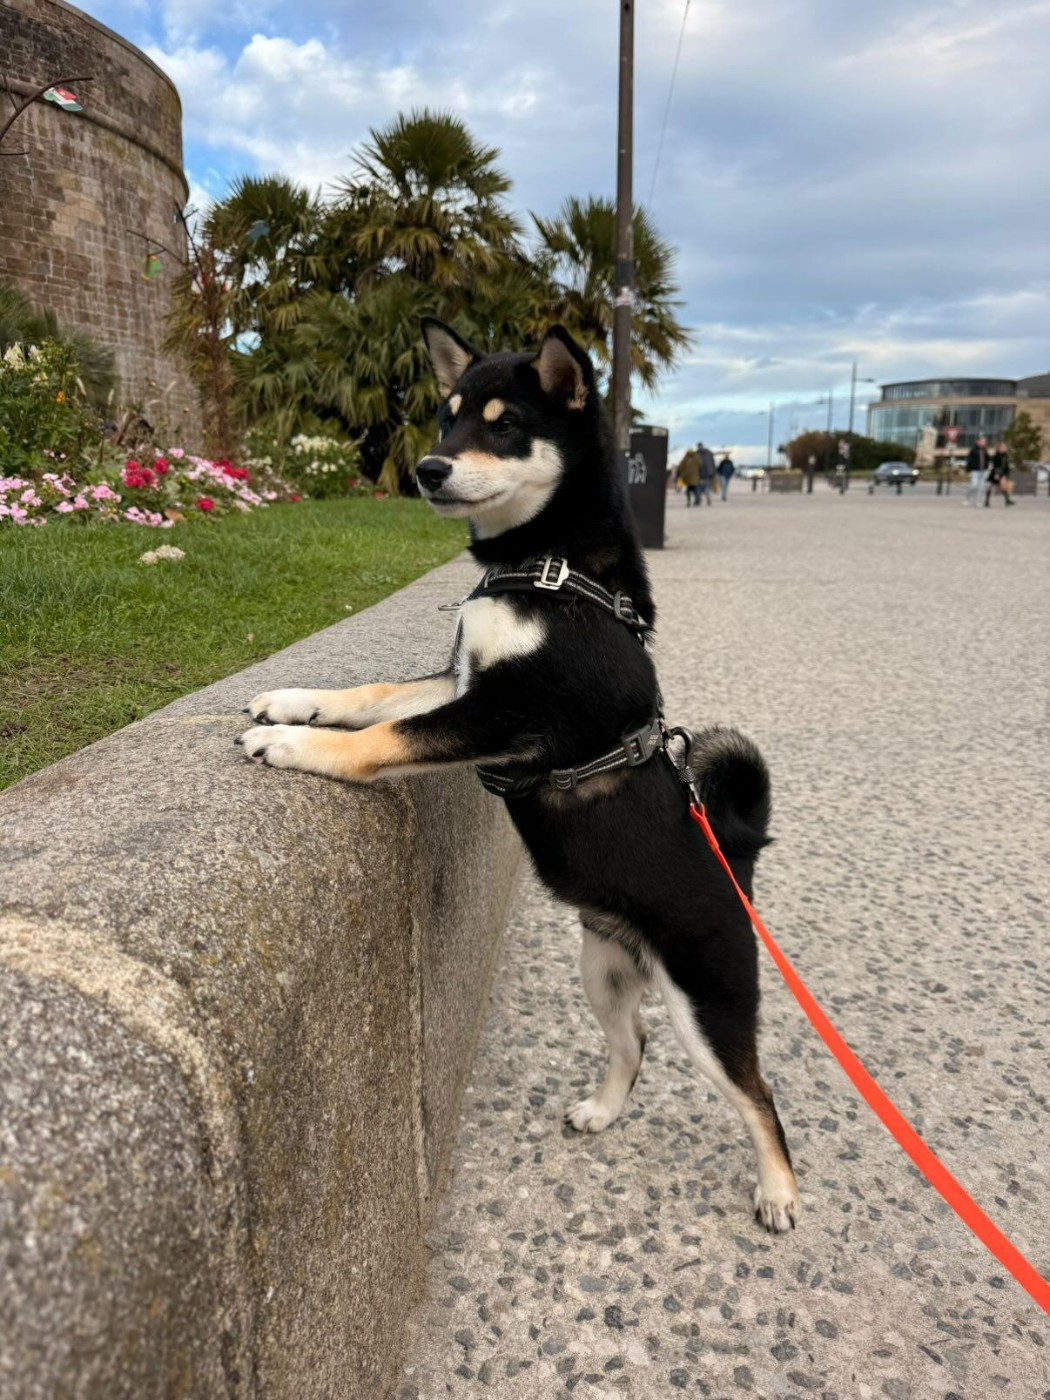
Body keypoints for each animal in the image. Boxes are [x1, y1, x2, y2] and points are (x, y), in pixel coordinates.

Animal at [236, 320, 800, 1232]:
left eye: (504, 427)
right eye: (447, 417)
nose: (427, 470)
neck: (551, 565)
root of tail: (736, 861)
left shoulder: (510, 716)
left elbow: (385, 735)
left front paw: (288, 744)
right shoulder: (465, 682)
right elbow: (376, 697)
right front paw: (295, 701)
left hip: (708, 1004)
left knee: (758, 1094)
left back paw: (779, 1190)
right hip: (603, 971)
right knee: (634, 1043)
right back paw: (602, 1110)